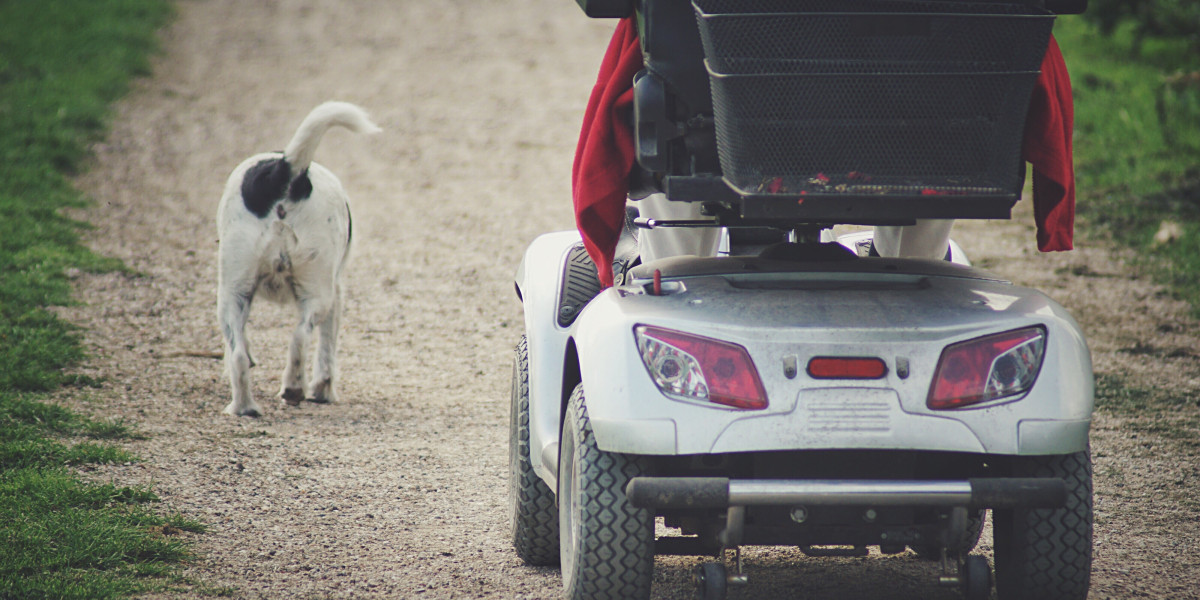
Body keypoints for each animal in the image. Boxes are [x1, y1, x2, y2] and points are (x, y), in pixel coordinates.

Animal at [218, 99, 379, 417]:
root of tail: (286, 171)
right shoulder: (337, 293)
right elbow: (327, 350)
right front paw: (323, 390)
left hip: (234, 293)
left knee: (243, 353)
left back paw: (245, 407)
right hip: (316, 291)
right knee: (300, 336)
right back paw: (292, 388)